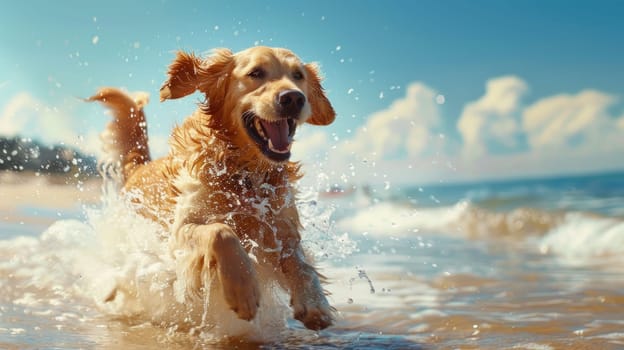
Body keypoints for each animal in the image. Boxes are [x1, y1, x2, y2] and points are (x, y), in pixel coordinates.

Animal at [88, 45, 336, 330]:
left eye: (298, 76)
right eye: (256, 73)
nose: (294, 98)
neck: (243, 175)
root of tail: (140, 166)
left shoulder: (281, 230)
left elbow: (301, 264)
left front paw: (314, 302)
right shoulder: (180, 232)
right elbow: (221, 232)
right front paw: (243, 291)